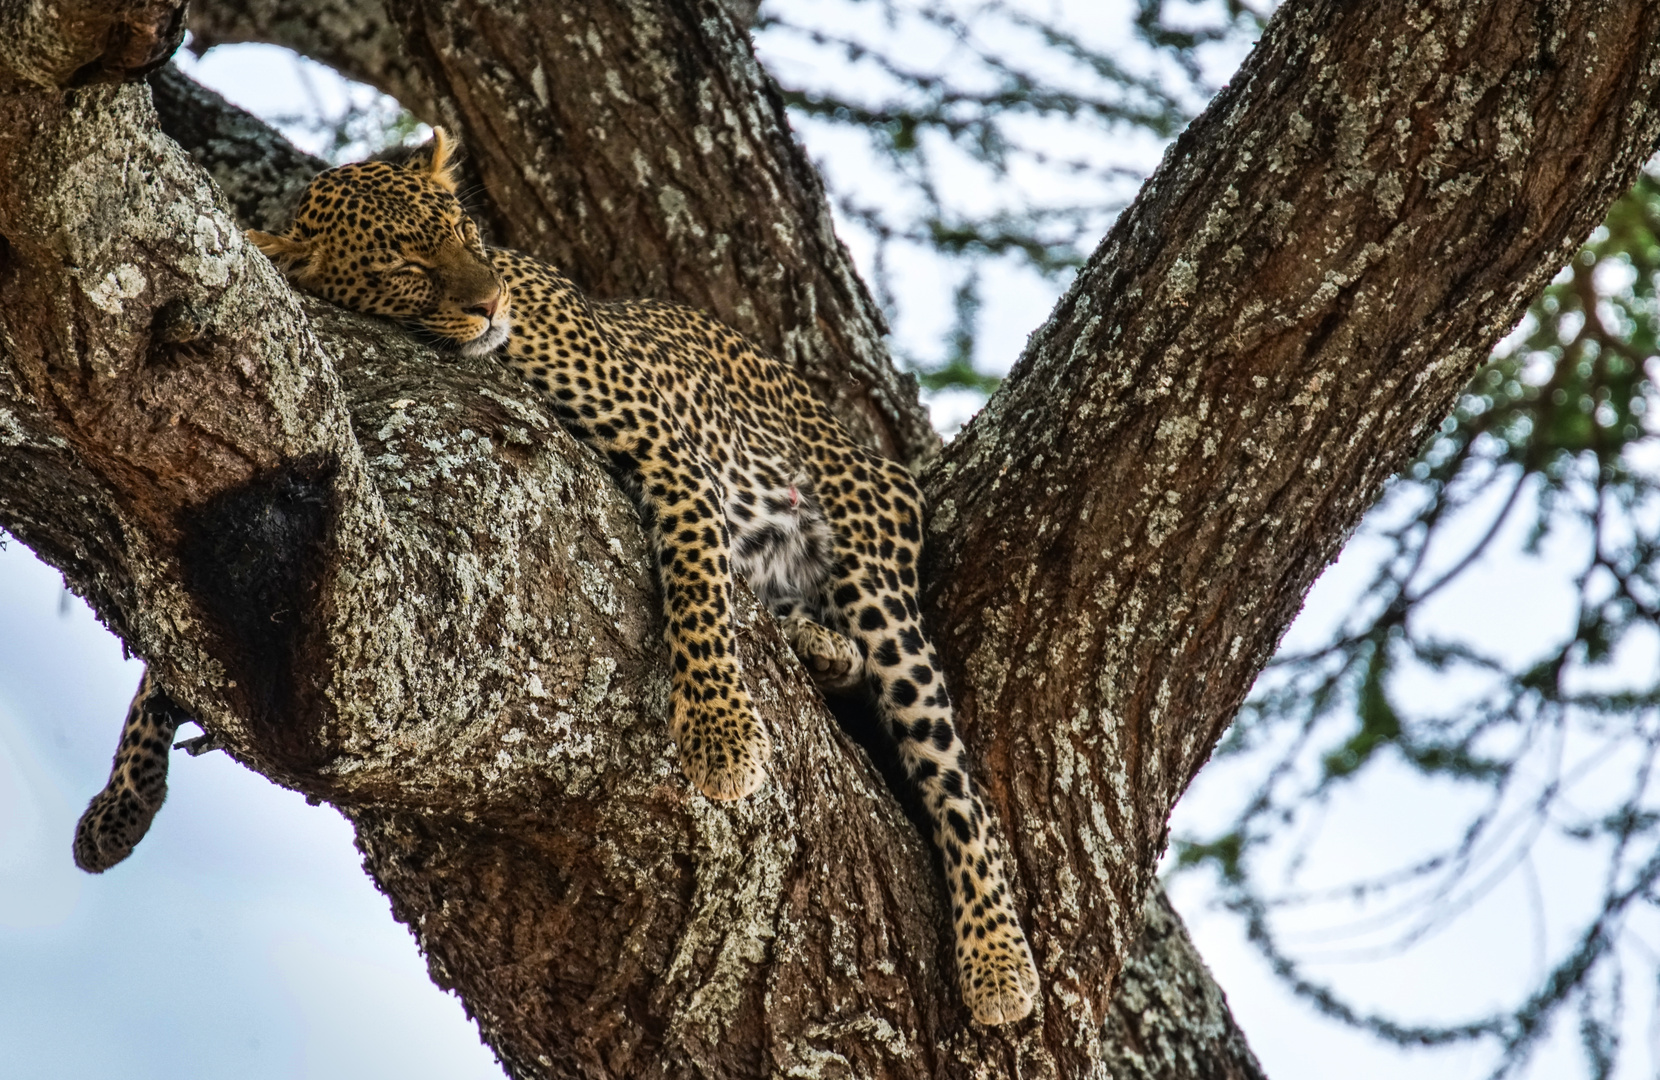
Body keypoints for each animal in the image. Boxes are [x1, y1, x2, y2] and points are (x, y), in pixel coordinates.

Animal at [80, 131, 1035, 1028]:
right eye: (405, 266)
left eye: (465, 234)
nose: (490, 302)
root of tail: (875, 457)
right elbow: (175, 651)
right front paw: (119, 806)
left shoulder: (667, 452)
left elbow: (695, 588)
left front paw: (721, 739)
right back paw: (817, 648)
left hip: (875, 562)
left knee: (957, 784)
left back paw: (997, 962)